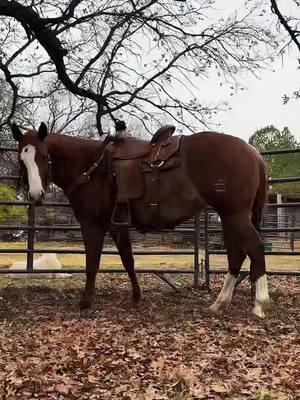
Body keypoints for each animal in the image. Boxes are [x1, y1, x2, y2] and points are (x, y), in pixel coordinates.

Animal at [11, 122, 270, 318]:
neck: (91, 167)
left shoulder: (92, 224)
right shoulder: (117, 226)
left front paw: (85, 302)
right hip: (230, 217)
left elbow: (92, 263)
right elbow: (128, 260)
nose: (35, 194)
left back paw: (259, 303)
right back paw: (220, 303)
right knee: (237, 253)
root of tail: (253, 152)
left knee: (255, 247)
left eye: (44, 156)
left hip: (235, 215)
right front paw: (136, 296)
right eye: (21, 160)